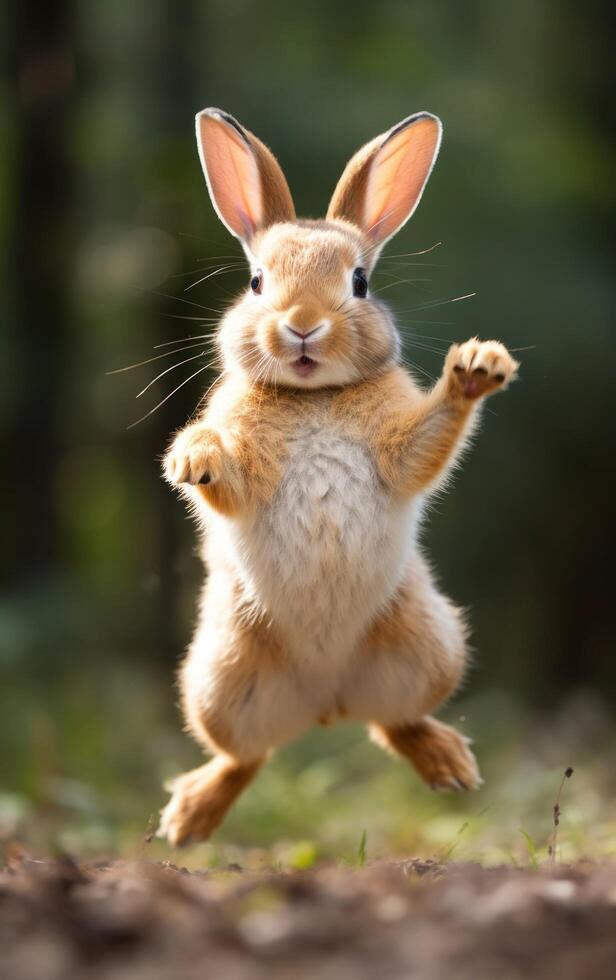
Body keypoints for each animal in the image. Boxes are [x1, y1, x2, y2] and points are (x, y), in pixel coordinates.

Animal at [158, 105, 520, 844]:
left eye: (359, 282)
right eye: (257, 282)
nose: (302, 326)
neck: (314, 396)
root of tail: (326, 704)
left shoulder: (400, 451)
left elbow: (430, 441)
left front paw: (479, 368)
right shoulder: (247, 476)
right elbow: (224, 476)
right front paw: (191, 457)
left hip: (429, 644)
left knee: (393, 722)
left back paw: (449, 765)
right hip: (218, 680)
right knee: (244, 756)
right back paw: (190, 817)